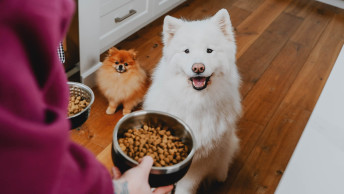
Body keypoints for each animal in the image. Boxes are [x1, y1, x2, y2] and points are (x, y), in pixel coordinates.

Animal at [142, 8, 242, 192]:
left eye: (209, 50)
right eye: (186, 51)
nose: (198, 67)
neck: (195, 101)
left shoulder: (203, 157)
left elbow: (187, 185)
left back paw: (221, 175)